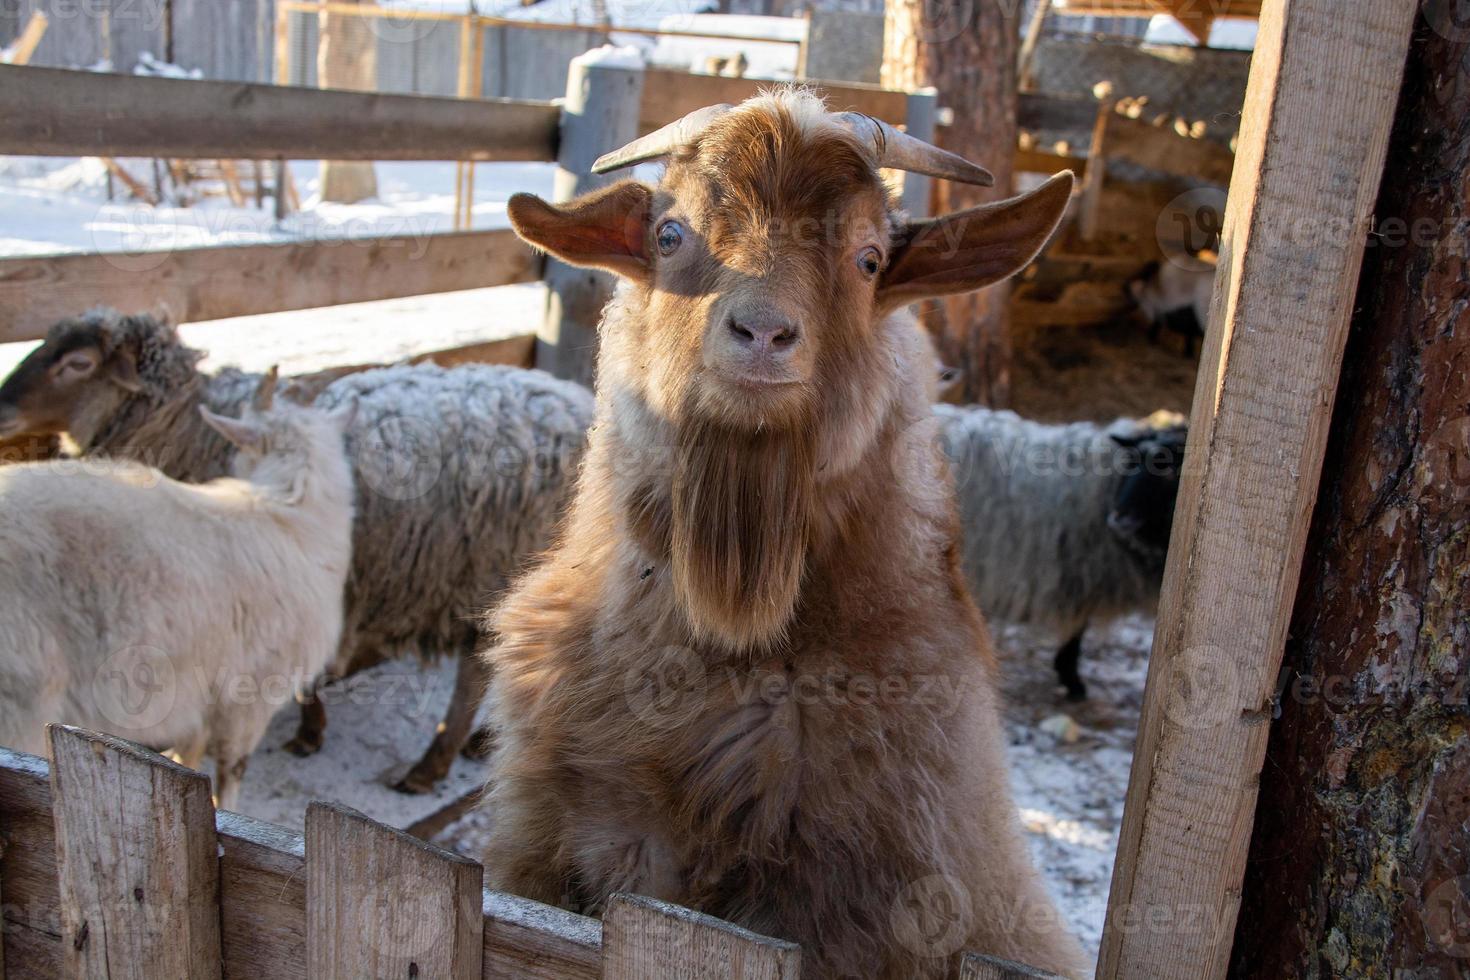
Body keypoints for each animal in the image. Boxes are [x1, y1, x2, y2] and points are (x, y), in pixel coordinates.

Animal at [1, 310, 596, 793]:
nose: (1, 409)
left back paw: (432, 765)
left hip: (492, 565)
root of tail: (581, 406)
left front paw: (310, 733)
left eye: (77, 363)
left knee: (475, 669)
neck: (193, 427)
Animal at [934, 402, 1187, 702]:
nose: (1119, 518)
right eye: (1133, 463)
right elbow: (1076, 632)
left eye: (1171, 471)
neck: (1103, 488)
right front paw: (1072, 681)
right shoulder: (1078, 576)